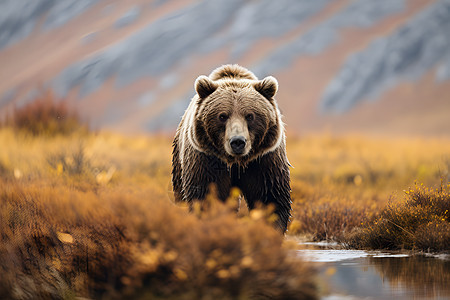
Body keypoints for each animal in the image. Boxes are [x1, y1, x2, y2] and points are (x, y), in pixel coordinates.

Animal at [172, 63, 292, 232]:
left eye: (250, 115)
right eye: (222, 116)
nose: (238, 142)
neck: (236, 162)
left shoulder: (264, 160)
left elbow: (270, 197)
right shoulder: (207, 160)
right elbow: (207, 197)